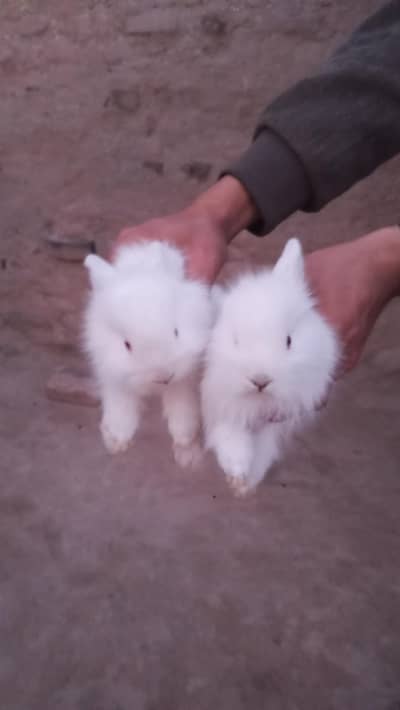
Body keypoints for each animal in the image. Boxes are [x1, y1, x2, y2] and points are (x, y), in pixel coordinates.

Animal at [83, 241, 214, 467]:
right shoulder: (114, 374)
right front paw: (117, 438)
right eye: (127, 345)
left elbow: (182, 405)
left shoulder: (185, 378)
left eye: (176, 331)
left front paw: (184, 439)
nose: (164, 376)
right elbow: (120, 406)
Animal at [201, 238, 340, 495]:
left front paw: (247, 484)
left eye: (289, 340)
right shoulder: (221, 405)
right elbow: (230, 439)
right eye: (236, 340)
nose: (260, 380)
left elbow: (264, 449)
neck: (258, 402)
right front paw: (238, 475)